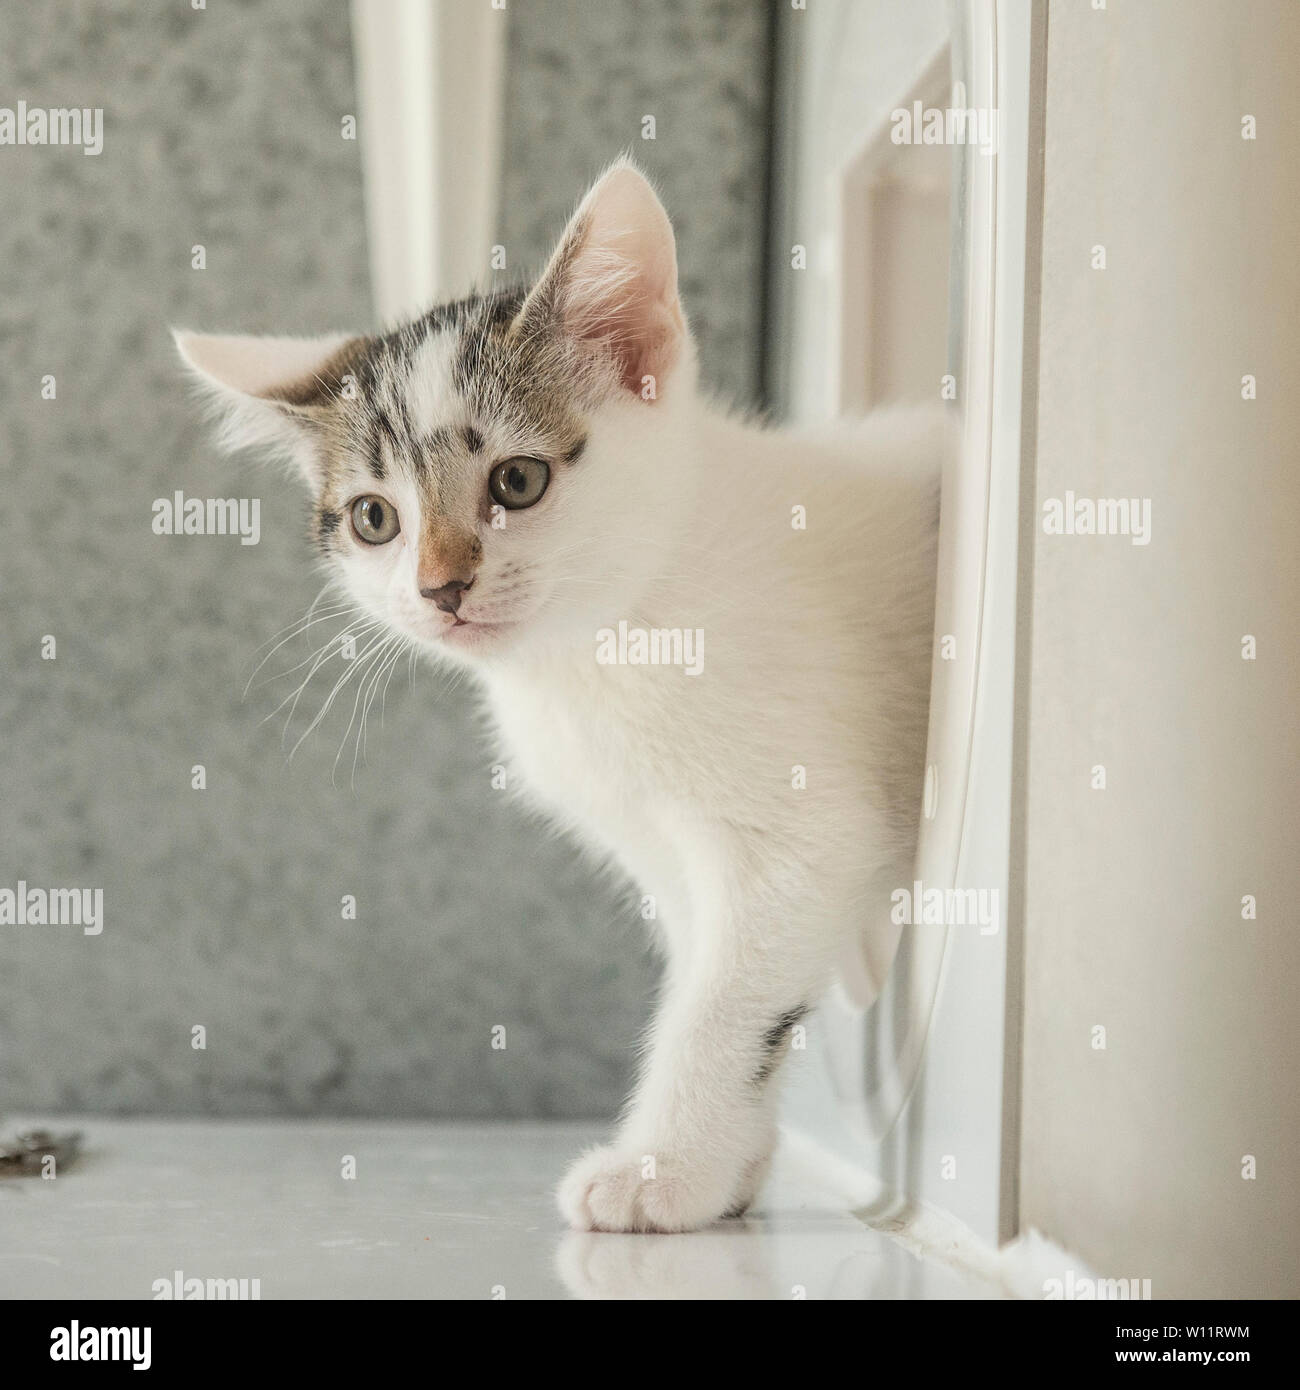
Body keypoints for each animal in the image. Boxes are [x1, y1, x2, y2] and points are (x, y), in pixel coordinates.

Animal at [177, 157, 939, 1234]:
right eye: (373, 518)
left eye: (518, 481)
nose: (440, 586)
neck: (602, 646)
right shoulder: (660, 847)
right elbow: (712, 967)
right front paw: (732, 1168)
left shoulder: (800, 830)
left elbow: (722, 1003)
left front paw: (665, 1168)